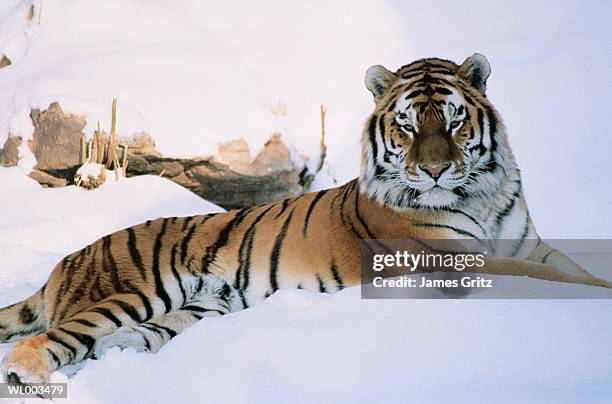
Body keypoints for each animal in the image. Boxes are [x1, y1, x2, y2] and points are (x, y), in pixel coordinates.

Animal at [1, 53, 612, 386]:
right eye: (408, 125)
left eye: (455, 120)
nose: (435, 170)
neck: (480, 195)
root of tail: (62, 263)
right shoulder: (452, 260)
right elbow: (550, 281)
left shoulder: (528, 244)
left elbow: (573, 271)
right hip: (133, 292)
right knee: (42, 342)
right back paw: (32, 375)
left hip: (198, 307)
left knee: (118, 340)